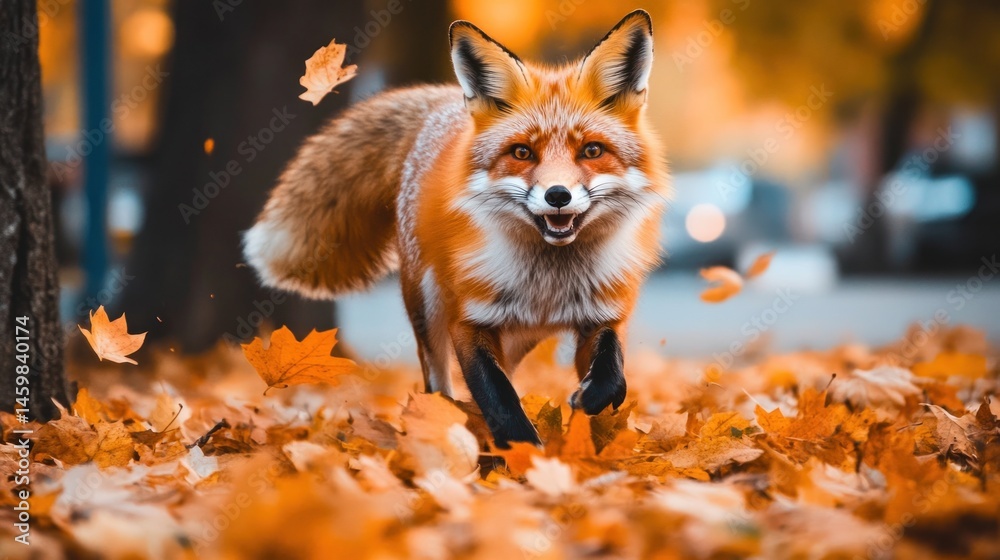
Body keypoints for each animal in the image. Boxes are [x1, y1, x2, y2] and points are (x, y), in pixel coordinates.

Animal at [243, 10, 669, 447]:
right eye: (522, 153)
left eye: (592, 151)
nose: (557, 195)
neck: (547, 285)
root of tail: (442, 102)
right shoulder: (469, 320)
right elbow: (498, 397)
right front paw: (523, 452)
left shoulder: (603, 314)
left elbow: (613, 378)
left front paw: (586, 407)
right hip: (425, 305)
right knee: (437, 385)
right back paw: (440, 428)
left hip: (517, 337)